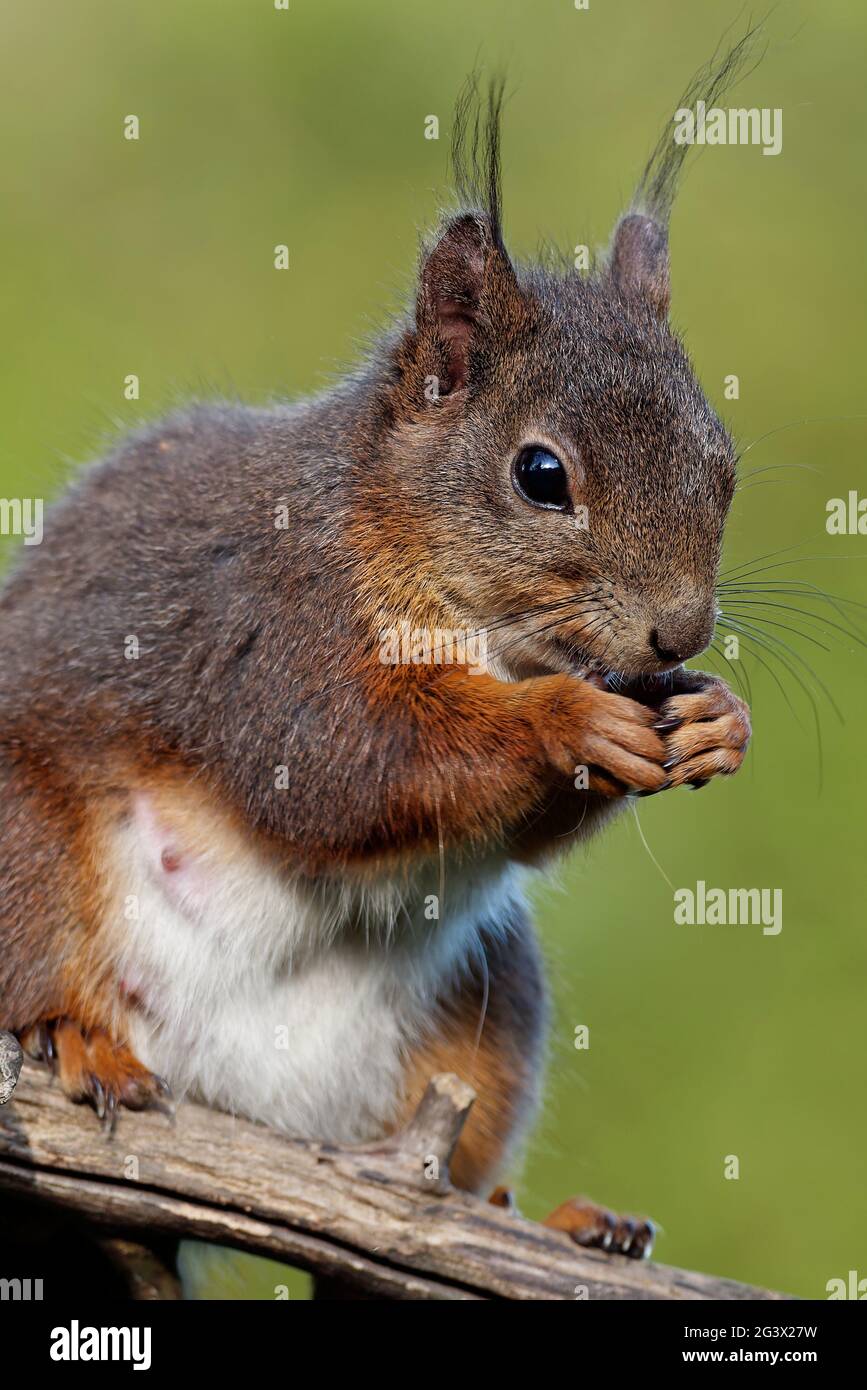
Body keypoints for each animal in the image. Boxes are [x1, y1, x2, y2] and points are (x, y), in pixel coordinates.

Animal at [0, 53, 754, 1266]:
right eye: (541, 474)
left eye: (723, 460)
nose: (680, 634)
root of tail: (246, 1105)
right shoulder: (274, 624)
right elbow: (344, 764)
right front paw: (564, 721)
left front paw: (717, 719)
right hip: (23, 845)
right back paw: (76, 1039)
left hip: (489, 1014)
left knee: (452, 1153)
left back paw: (543, 1217)